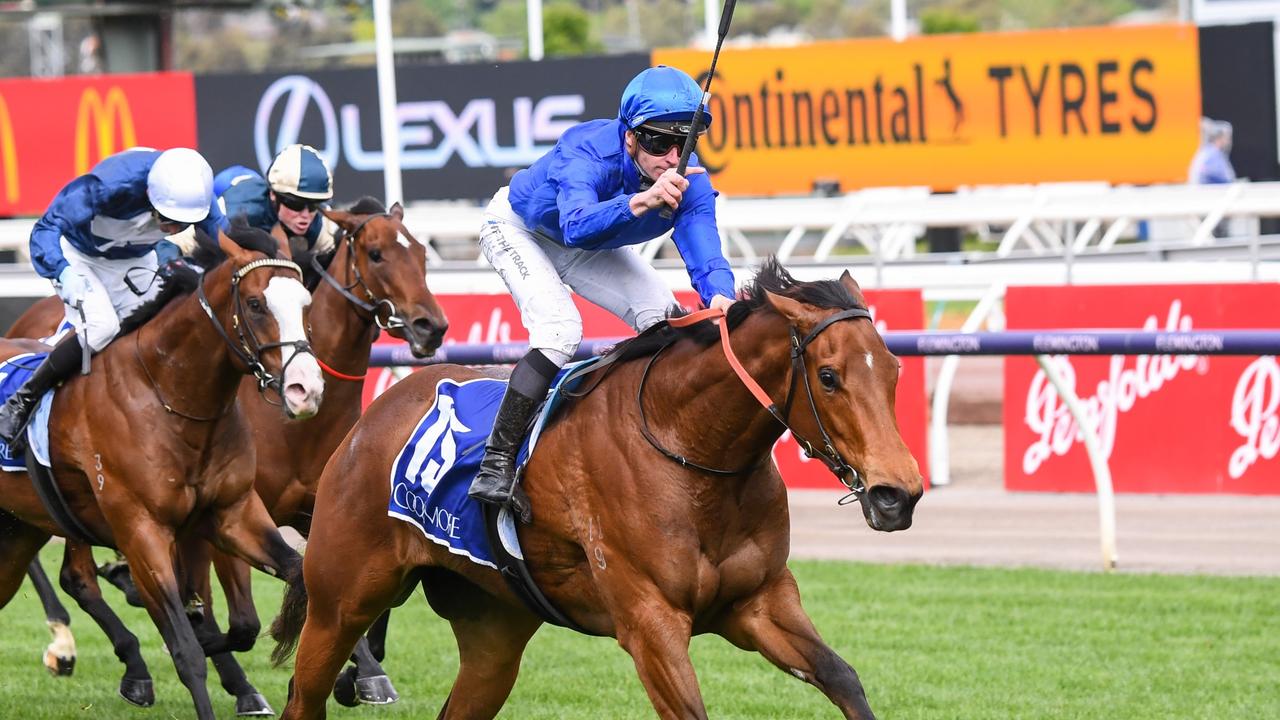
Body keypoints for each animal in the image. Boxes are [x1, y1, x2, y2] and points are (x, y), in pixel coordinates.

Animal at [275, 258, 926, 717]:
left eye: (894, 368)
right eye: (829, 376)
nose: (899, 494)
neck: (689, 446)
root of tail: (371, 418)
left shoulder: (759, 602)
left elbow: (843, 678)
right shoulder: (650, 624)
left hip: (493, 632)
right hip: (338, 605)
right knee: (303, 696)